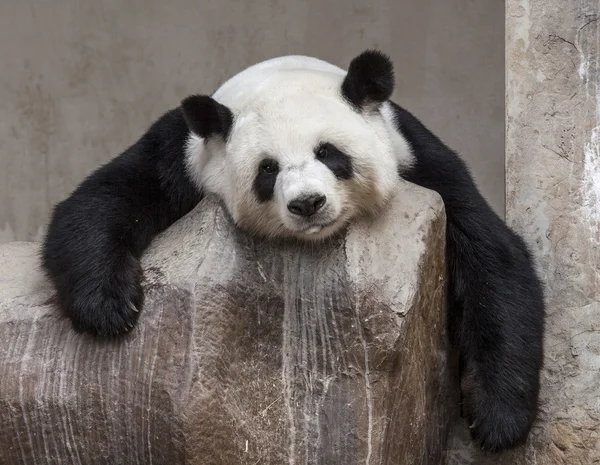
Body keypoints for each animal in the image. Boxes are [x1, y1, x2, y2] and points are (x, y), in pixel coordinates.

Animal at [39, 49, 548, 450]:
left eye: (329, 153)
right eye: (268, 169)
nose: (307, 203)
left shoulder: (417, 159)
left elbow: (491, 257)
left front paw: (497, 419)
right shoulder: (183, 156)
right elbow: (104, 198)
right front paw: (109, 306)